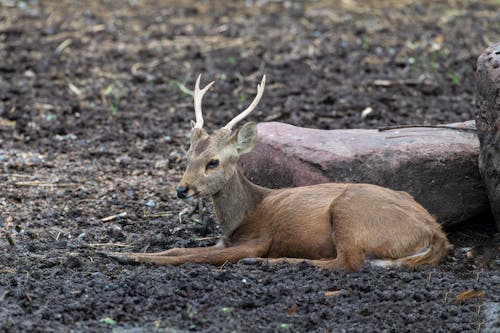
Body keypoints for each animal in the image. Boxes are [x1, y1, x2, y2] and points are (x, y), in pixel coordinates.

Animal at [105, 74, 450, 272]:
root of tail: (435, 233)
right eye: (187, 156)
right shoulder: (223, 241)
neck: (242, 216)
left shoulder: (256, 239)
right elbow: (178, 248)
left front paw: (123, 256)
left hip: (350, 213)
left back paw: (266, 262)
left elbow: (192, 257)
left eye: (213, 162)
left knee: (348, 263)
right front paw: (123, 253)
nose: (182, 189)